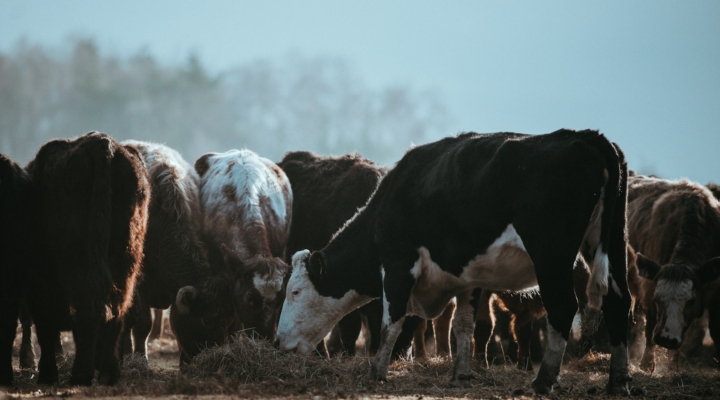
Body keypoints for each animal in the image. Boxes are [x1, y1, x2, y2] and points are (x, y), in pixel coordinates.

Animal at [24, 133, 150, 386]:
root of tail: (102, 143)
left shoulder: (38, 283)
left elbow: (45, 328)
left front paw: (47, 374)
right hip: (125, 263)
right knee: (116, 311)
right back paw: (108, 372)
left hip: (79, 261)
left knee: (88, 309)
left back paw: (81, 374)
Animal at [276, 130, 632, 396]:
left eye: (295, 292)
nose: (278, 342)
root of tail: (587, 137)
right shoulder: (466, 279)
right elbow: (463, 326)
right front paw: (460, 375)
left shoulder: (398, 264)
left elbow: (391, 320)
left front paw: (376, 370)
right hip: (609, 243)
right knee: (618, 301)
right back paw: (618, 381)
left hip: (551, 255)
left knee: (562, 308)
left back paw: (543, 381)